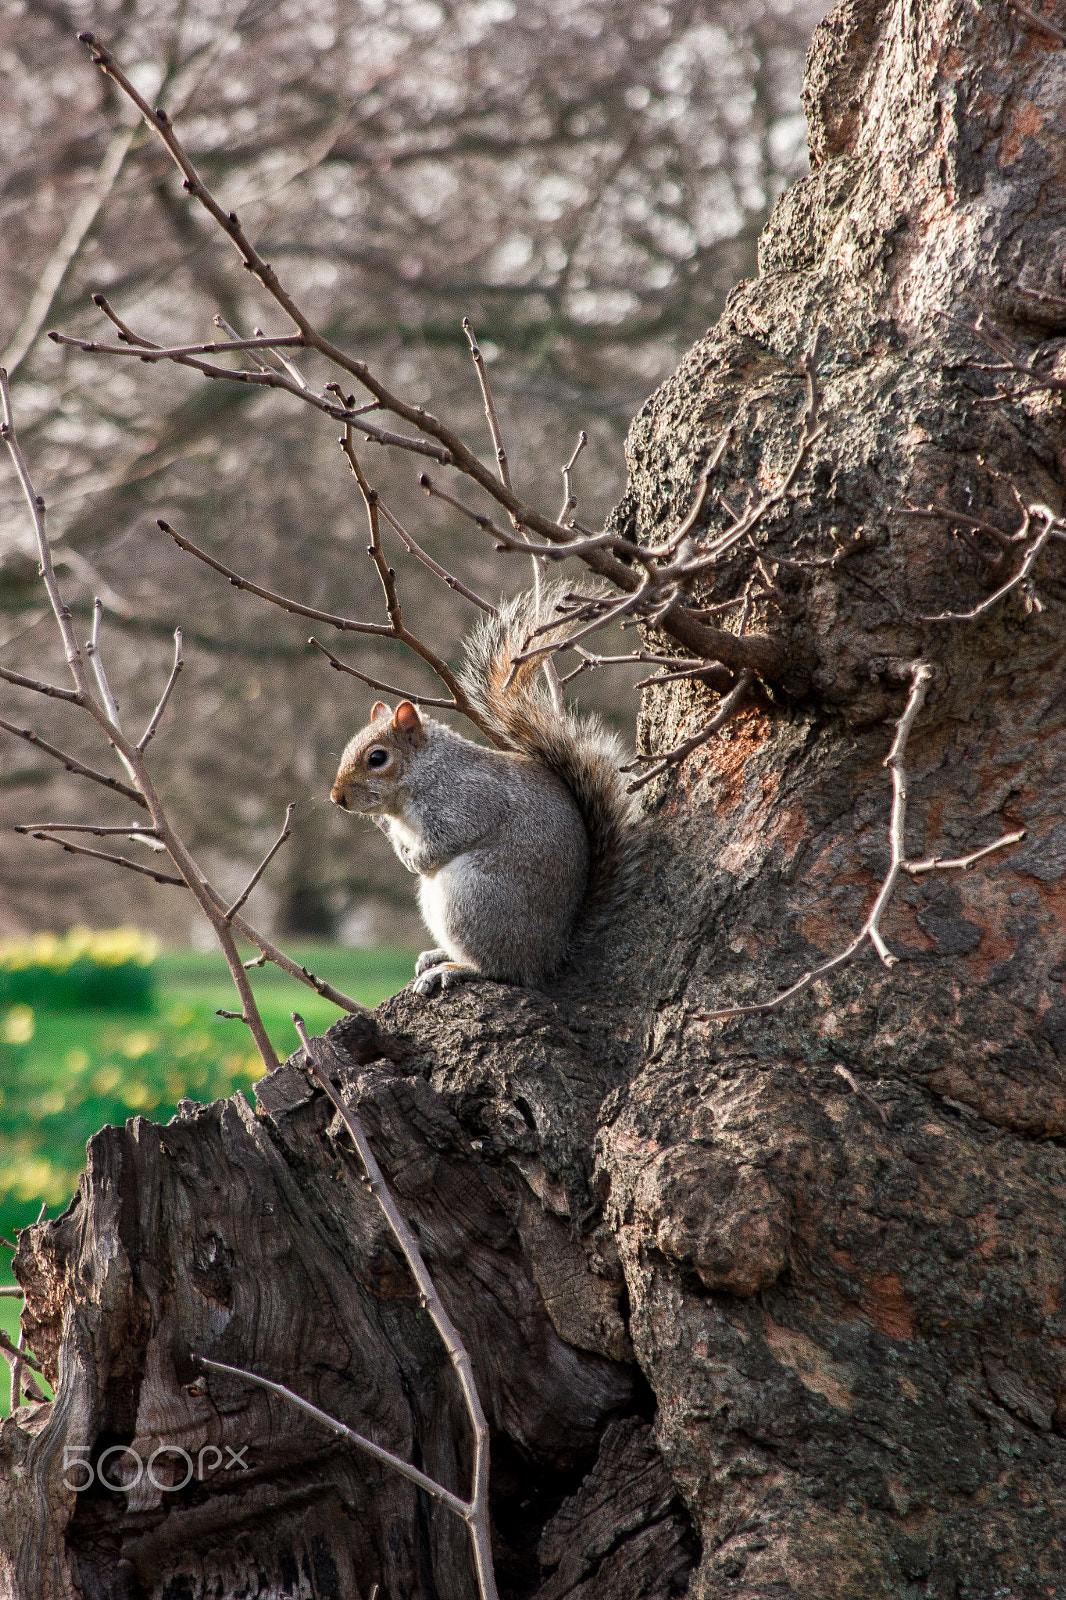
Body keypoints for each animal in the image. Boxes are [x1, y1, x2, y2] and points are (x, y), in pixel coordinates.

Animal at [330, 589, 636, 995]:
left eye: (377, 758)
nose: (337, 798)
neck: (424, 776)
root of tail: (549, 958)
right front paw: (400, 849)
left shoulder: (468, 801)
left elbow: (450, 838)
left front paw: (418, 860)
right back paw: (436, 955)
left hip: (475, 897)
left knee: (501, 969)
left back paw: (454, 968)